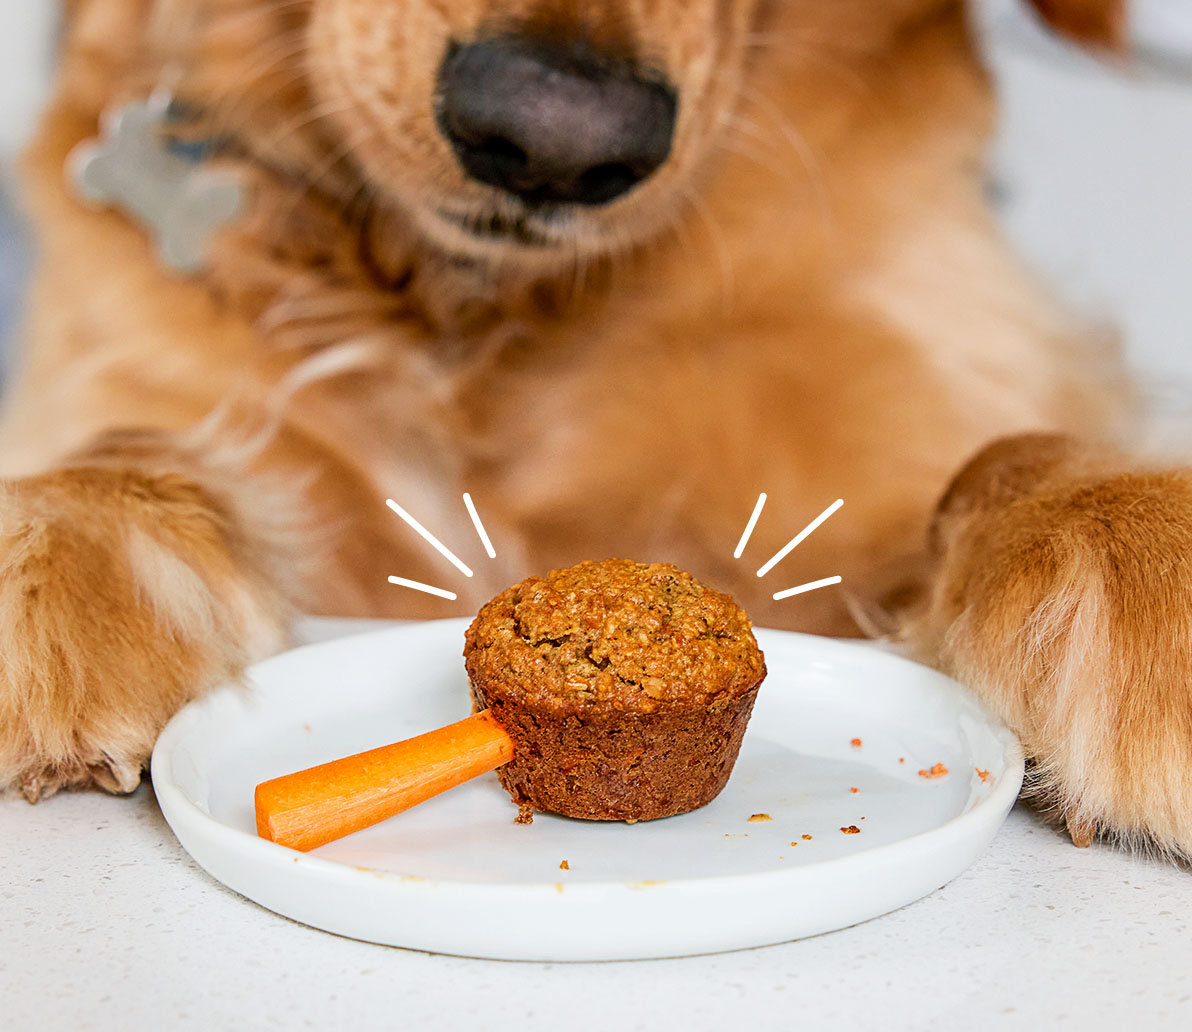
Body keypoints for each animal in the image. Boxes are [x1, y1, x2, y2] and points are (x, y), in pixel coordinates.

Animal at [7, 0, 1182, 858]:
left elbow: (1000, 453)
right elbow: (129, 439)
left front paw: (1146, 569)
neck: (477, 313)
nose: (553, 141)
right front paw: (60, 572)